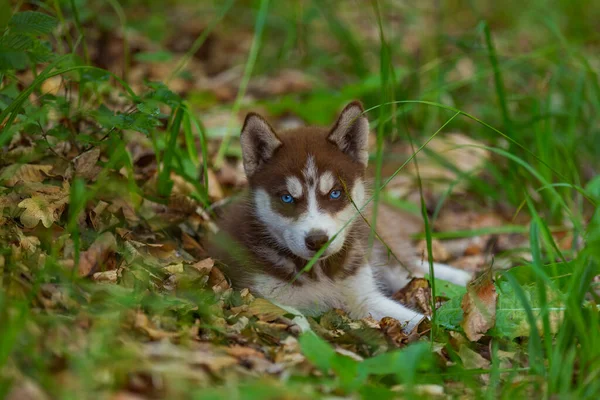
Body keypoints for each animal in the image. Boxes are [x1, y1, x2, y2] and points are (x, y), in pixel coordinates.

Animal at [209, 101, 472, 332]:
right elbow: (300, 325)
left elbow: (418, 319)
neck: (318, 272)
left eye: (335, 193)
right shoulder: (264, 297)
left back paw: (463, 277)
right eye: (287, 198)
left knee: (412, 269)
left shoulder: (364, 296)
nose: (317, 240)